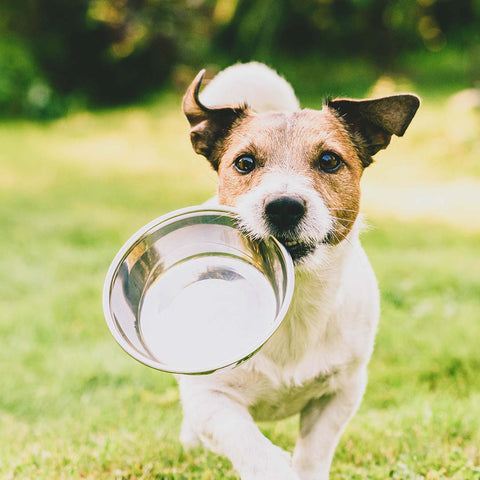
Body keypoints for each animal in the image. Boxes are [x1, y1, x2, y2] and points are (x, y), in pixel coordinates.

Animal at [176, 62, 420, 478]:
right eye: (244, 163)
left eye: (329, 160)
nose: (284, 206)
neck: (294, 301)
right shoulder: (210, 398)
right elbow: (250, 446)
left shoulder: (341, 392)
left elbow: (313, 453)